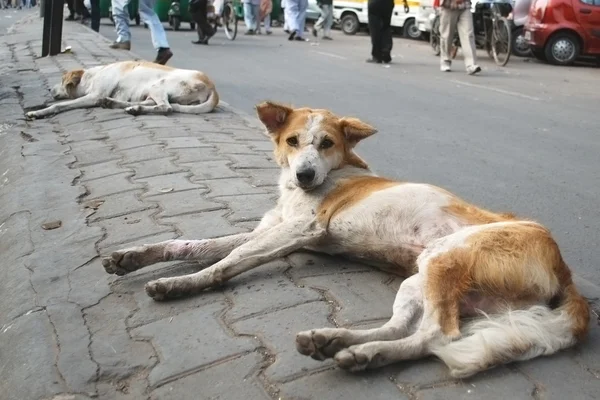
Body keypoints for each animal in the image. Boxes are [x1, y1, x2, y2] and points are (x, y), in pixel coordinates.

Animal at [25, 59, 219, 119]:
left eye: (61, 80)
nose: (50, 90)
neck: (92, 76)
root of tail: (213, 87)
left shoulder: (93, 95)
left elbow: (58, 106)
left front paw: (38, 112)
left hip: (159, 86)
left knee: (166, 107)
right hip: (153, 91)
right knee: (154, 104)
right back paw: (123, 105)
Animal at [101, 102, 588, 378]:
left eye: (327, 143)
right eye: (293, 141)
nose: (304, 175)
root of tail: (565, 270)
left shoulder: (299, 231)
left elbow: (231, 258)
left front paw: (186, 284)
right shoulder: (273, 230)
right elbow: (193, 245)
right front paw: (136, 257)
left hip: (445, 258)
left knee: (438, 335)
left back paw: (363, 355)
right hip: (422, 276)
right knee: (403, 327)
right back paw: (335, 342)